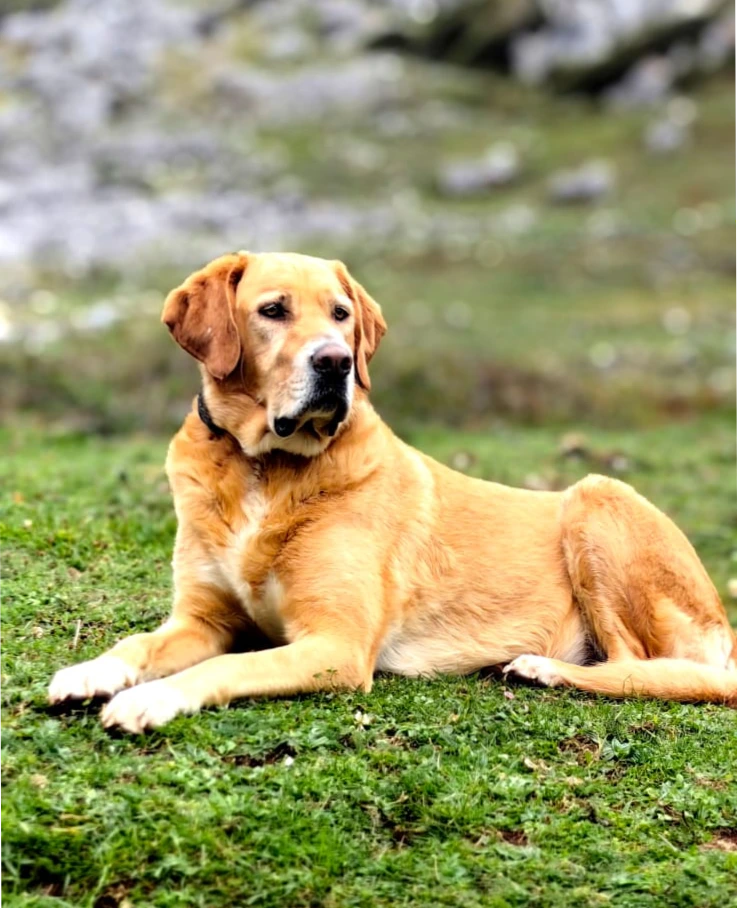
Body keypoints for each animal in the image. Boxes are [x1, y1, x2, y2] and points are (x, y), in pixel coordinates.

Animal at [49, 250, 736, 732]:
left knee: (653, 671)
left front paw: (152, 699)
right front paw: (92, 670)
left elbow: (228, 664)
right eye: (273, 311)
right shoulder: (202, 619)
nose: (335, 363)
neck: (264, 468)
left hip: (596, 496)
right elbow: (139, 642)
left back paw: (544, 668)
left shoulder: (337, 644)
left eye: (340, 314)